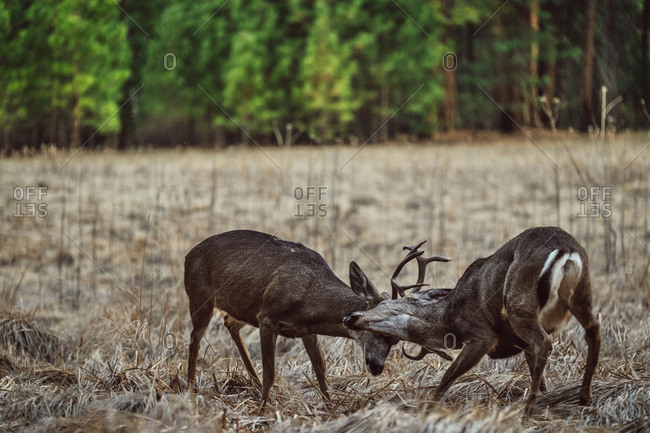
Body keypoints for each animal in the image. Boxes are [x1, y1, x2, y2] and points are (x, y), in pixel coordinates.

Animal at [184, 229, 451, 406]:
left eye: (395, 339)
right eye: (376, 327)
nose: (377, 367)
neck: (309, 297)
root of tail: (188, 254)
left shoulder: (306, 330)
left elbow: (321, 370)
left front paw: (330, 408)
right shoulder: (268, 317)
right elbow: (271, 372)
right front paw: (262, 410)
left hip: (242, 307)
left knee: (229, 323)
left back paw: (253, 383)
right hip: (200, 297)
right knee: (195, 339)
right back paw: (191, 388)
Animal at [344, 226, 601, 414]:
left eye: (382, 305)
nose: (349, 317)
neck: (449, 318)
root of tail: (565, 250)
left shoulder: (481, 335)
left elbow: (447, 376)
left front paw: (426, 409)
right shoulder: (520, 343)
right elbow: (539, 373)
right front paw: (547, 397)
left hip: (519, 301)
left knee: (545, 341)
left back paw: (528, 409)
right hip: (582, 292)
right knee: (593, 330)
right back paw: (584, 397)